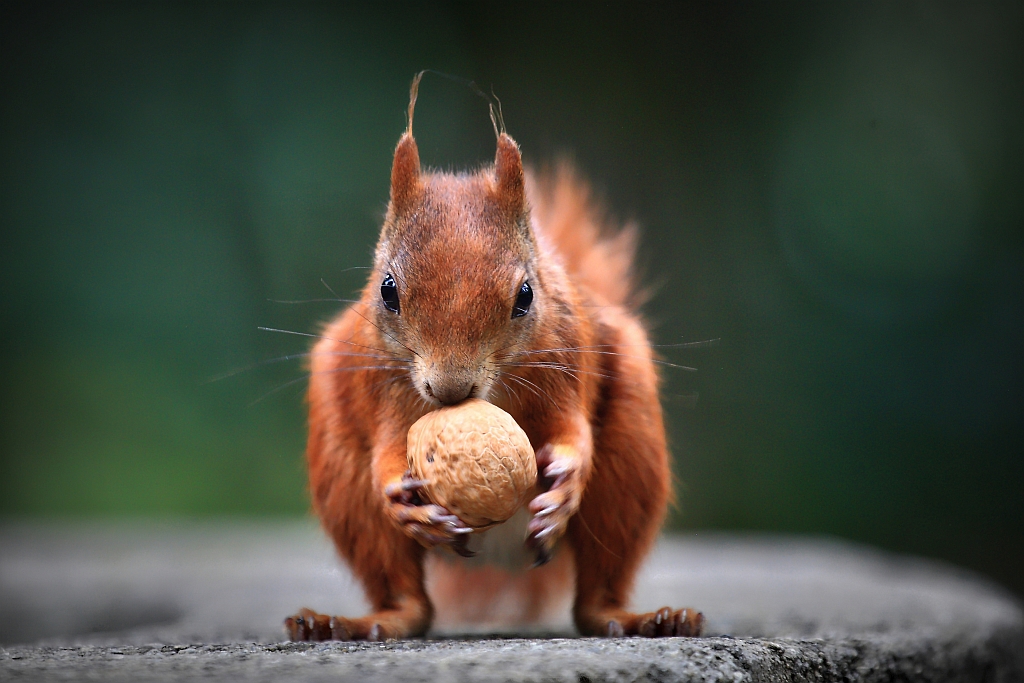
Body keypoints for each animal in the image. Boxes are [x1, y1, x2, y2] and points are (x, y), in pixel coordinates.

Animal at [286, 77, 704, 643]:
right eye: (387, 290)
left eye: (525, 295)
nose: (449, 390)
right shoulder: (382, 388)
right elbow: (389, 449)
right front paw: (397, 491)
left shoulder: (569, 359)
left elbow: (573, 430)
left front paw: (568, 474)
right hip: (343, 476)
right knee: (406, 598)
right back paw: (354, 622)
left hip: (631, 459)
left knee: (595, 594)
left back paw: (643, 618)